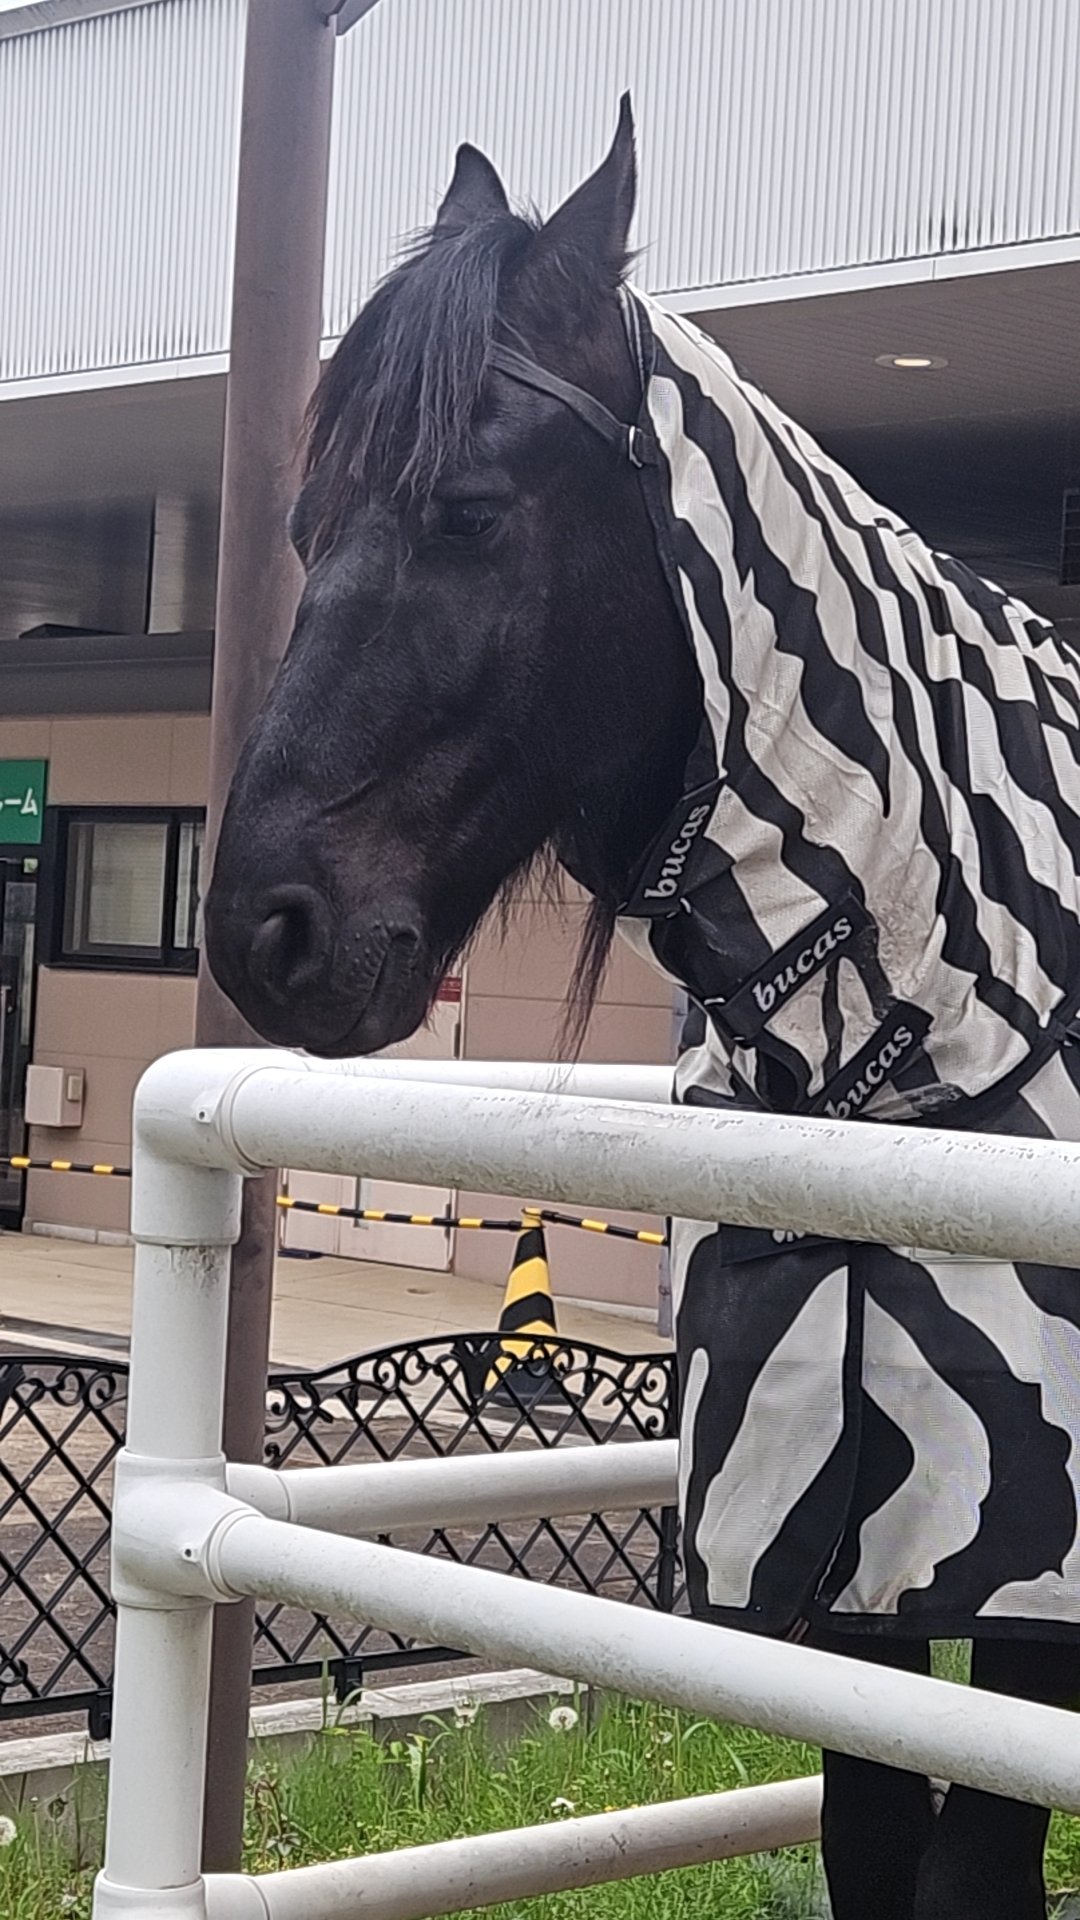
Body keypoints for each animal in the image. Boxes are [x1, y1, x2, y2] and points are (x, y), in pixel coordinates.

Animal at [205, 102, 1080, 1919]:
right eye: (303, 527)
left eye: (468, 514)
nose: (264, 929)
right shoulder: (842, 1567)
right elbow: (872, 1837)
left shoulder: (1035, 1589)